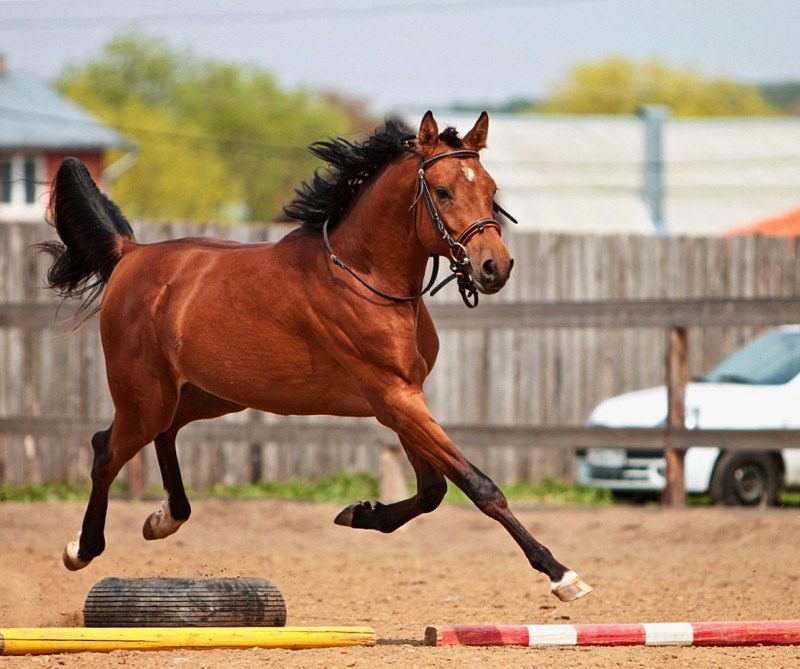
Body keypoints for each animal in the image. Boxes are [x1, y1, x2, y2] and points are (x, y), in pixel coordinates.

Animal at [40, 112, 592, 604]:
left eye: (491, 188)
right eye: (442, 192)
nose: (495, 267)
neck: (367, 277)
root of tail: (130, 255)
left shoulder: (401, 398)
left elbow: (434, 488)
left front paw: (360, 512)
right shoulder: (394, 397)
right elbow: (479, 485)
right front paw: (562, 575)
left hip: (213, 394)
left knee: (162, 432)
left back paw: (164, 519)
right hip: (146, 394)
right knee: (107, 448)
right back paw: (81, 549)